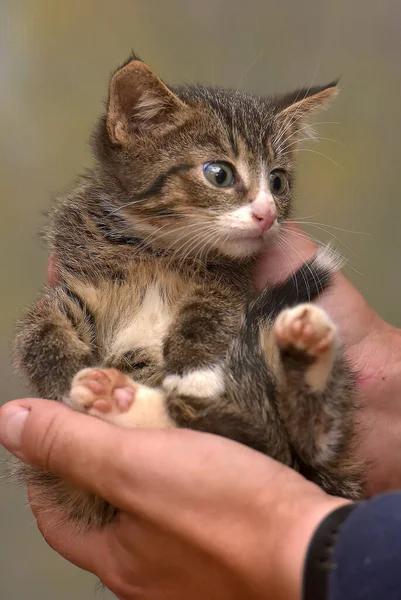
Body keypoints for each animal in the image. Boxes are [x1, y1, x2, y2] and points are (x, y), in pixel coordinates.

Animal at [12, 54, 364, 528]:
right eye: (219, 173)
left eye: (277, 181)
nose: (268, 214)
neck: (156, 251)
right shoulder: (77, 284)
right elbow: (37, 328)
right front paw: (65, 377)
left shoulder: (230, 288)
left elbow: (210, 311)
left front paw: (194, 368)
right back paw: (114, 398)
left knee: (294, 438)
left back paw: (304, 349)